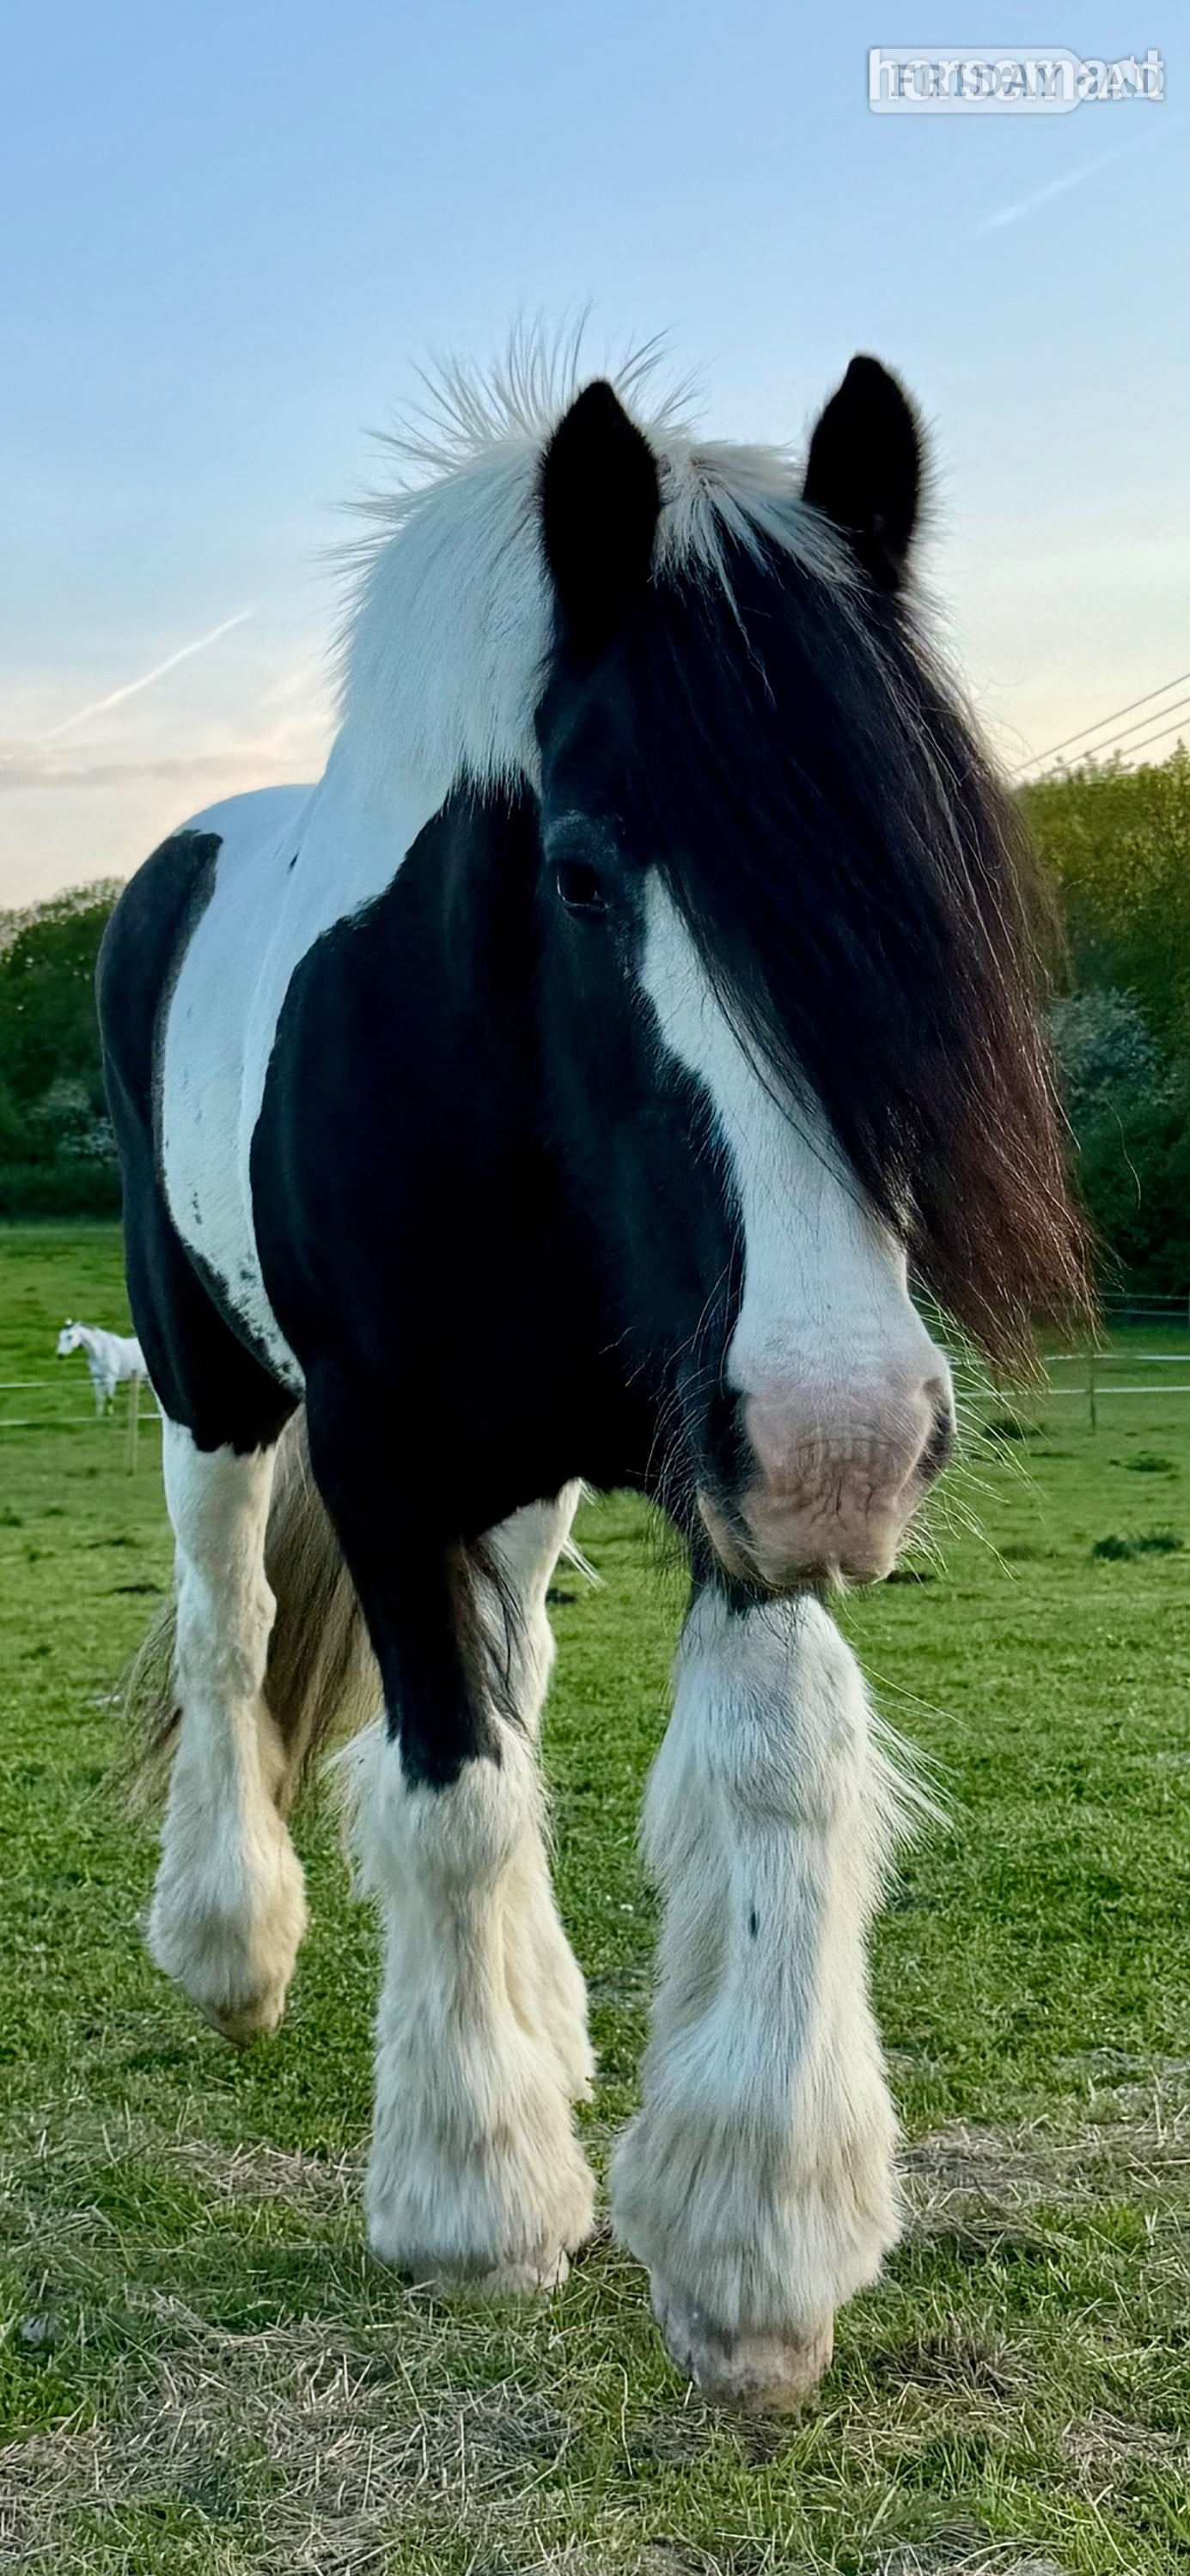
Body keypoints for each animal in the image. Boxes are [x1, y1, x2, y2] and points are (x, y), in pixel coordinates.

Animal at [98, 346, 1086, 2413]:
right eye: (573, 874)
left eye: (928, 876)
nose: (858, 1441)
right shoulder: (391, 1453)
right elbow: (450, 1781)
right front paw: (474, 2200)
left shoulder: (725, 1443)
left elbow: (772, 1766)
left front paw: (754, 2241)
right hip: (212, 1380)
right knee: (233, 1627)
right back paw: (232, 1942)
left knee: (518, 1664)